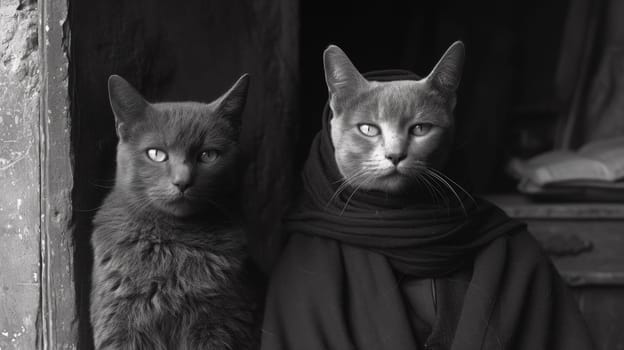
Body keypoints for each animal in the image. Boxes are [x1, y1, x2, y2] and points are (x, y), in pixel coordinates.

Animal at [88, 74, 258, 350]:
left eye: (208, 155)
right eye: (156, 154)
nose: (182, 181)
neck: (172, 244)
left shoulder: (220, 324)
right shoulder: (119, 320)